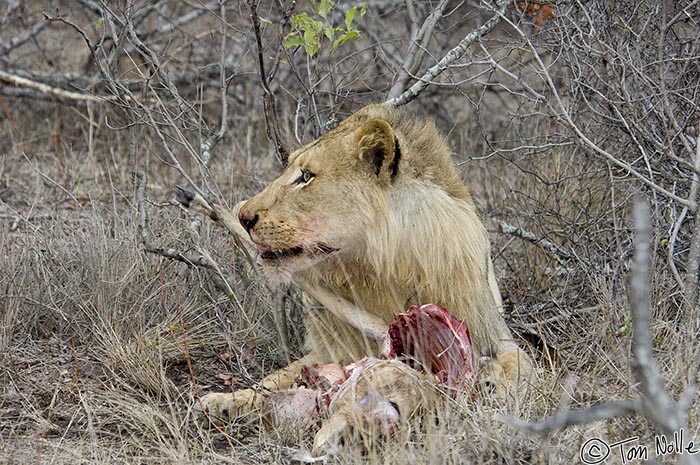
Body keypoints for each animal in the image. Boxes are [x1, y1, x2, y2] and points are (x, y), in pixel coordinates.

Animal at [179, 103, 532, 422]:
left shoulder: (489, 327)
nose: (244, 216)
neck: (377, 271)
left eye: (306, 177)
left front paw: (498, 385)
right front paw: (227, 401)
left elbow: (521, 361)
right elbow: (277, 376)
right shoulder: (333, 349)